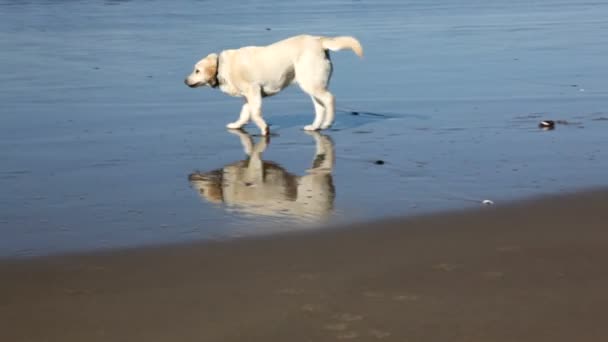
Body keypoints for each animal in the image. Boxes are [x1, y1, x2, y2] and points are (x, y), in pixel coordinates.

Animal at [185, 34, 364, 136]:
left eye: (197, 70)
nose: (185, 81)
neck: (221, 67)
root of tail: (318, 41)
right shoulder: (249, 97)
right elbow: (245, 113)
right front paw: (237, 125)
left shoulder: (253, 89)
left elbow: (255, 113)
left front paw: (264, 128)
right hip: (311, 84)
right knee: (320, 107)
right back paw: (314, 127)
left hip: (311, 83)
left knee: (329, 99)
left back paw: (328, 122)